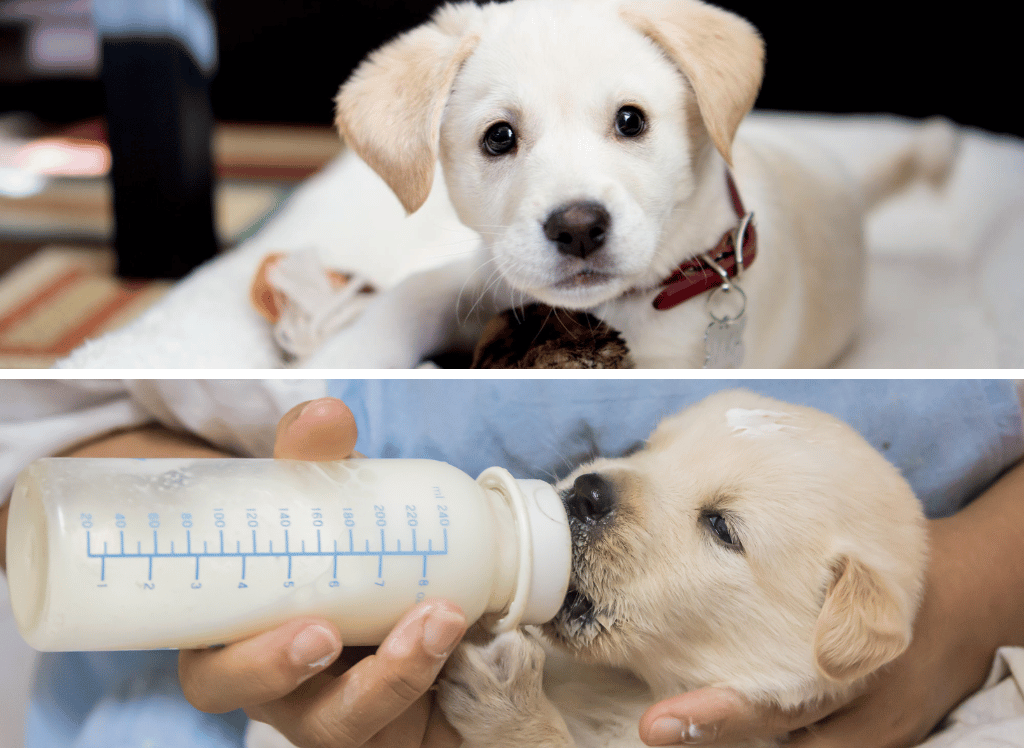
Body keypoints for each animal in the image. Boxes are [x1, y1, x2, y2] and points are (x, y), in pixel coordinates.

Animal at [307, 0, 954, 368]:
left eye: (630, 121)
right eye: (498, 137)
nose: (578, 228)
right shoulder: (493, 274)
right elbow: (413, 294)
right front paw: (332, 363)